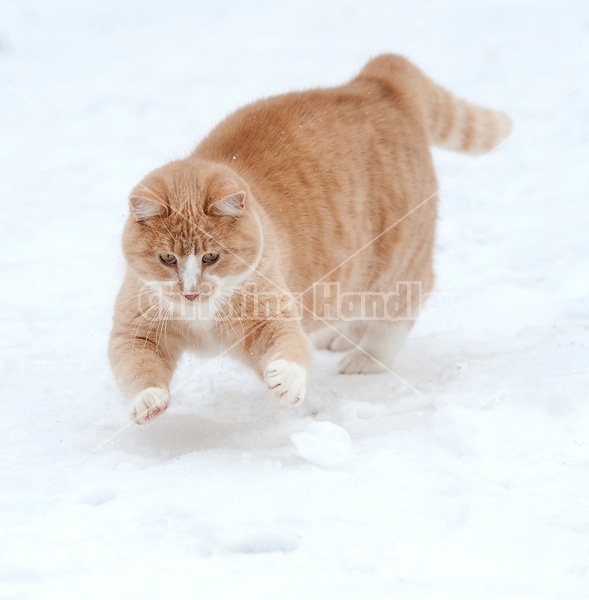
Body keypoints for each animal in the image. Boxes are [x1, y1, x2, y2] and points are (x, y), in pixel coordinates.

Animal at [109, 55, 510, 422]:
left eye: (211, 257)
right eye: (167, 259)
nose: (190, 292)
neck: (201, 314)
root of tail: (374, 80)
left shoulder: (271, 318)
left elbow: (290, 346)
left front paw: (286, 379)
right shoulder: (135, 329)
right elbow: (133, 364)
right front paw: (147, 399)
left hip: (396, 262)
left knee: (401, 308)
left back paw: (366, 356)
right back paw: (341, 336)